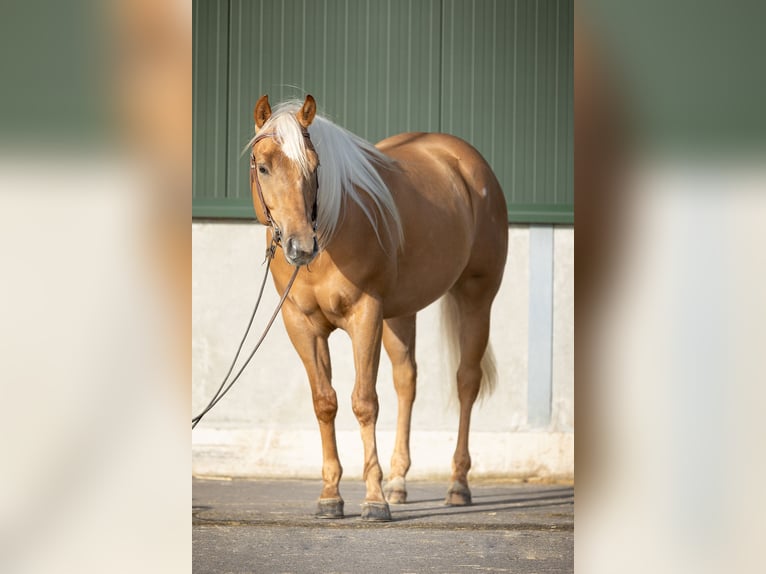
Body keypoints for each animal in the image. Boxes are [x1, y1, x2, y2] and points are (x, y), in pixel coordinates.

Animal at [249, 94, 508, 520]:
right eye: (264, 166)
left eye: (315, 166)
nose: (301, 247)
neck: (333, 231)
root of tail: (466, 162)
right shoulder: (301, 325)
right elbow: (325, 403)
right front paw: (330, 496)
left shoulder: (365, 315)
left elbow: (364, 403)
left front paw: (373, 499)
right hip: (401, 313)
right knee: (407, 380)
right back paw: (399, 482)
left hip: (476, 296)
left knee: (466, 382)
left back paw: (457, 484)